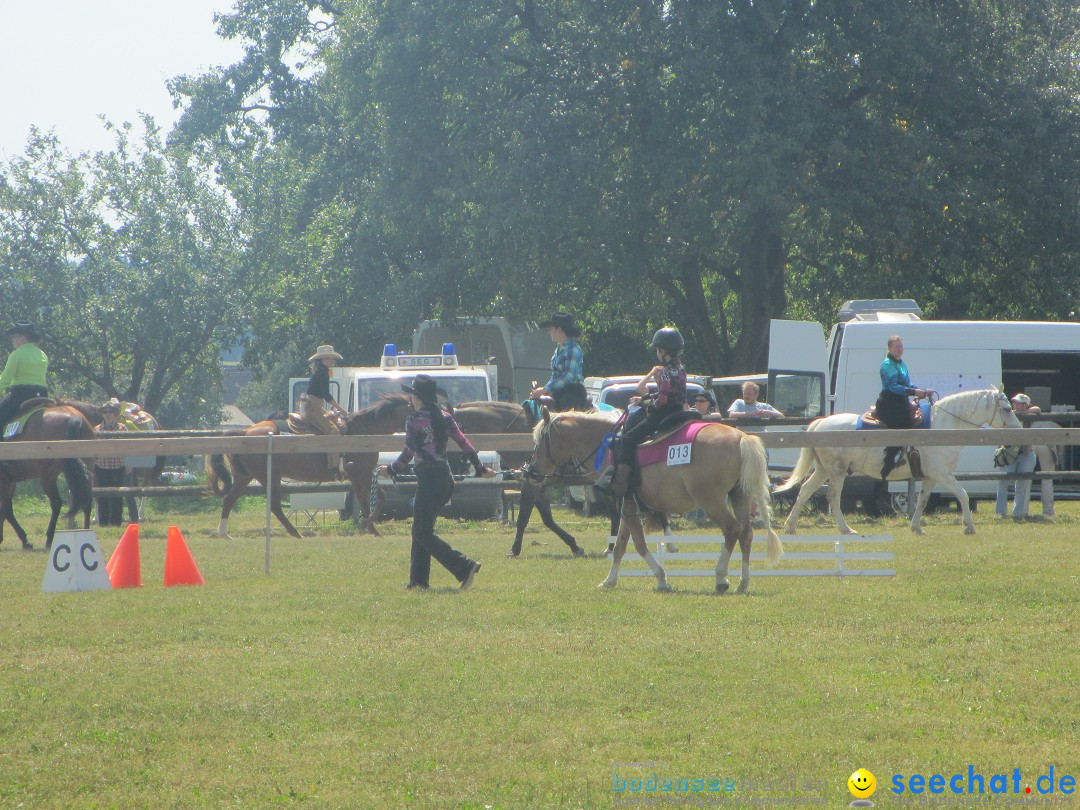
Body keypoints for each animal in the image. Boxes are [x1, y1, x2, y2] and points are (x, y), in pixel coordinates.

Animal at [0, 406, 93, 552]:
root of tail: (73, 416)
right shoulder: (10, 482)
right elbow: (8, 511)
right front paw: (25, 541)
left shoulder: (4, 482)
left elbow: (5, 510)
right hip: (87, 467)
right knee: (87, 500)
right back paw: (86, 531)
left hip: (47, 476)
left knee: (56, 503)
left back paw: (49, 539)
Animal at [203, 397, 408, 542]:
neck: (363, 432)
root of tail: (245, 432)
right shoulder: (361, 474)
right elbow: (367, 502)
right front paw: (371, 527)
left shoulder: (364, 475)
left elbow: (380, 496)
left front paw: (369, 524)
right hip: (269, 476)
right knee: (274, 506)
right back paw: (295, 532)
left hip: (244, 476)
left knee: (229, 500)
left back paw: (224, 534)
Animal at [527, 414, 781, 591]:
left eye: (539, 443)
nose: (531, 471)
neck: (609, 447)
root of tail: (742, 438)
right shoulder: (627, 505)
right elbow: (619, 546)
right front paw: (609, 581)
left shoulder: (628, 507)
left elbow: (639, 545)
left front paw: (661, 579)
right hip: (740, 496)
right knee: (746, 533)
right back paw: (743, 582)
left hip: (711, 501)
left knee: (732, 529)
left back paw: (721, 577)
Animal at [777, 388, 1019, 540]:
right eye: (1007, 409)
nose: (1017, 430)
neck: (943, 427)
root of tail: (819, 424)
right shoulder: (942, 474)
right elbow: (963, 494)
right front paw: (969, 527)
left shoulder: (931, 477)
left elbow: (922, 501)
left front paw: (917, 528)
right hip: (837, 472)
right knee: (833, 498)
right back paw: (846, 529)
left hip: (823, 470)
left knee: (805, 490)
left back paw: (790, 526)